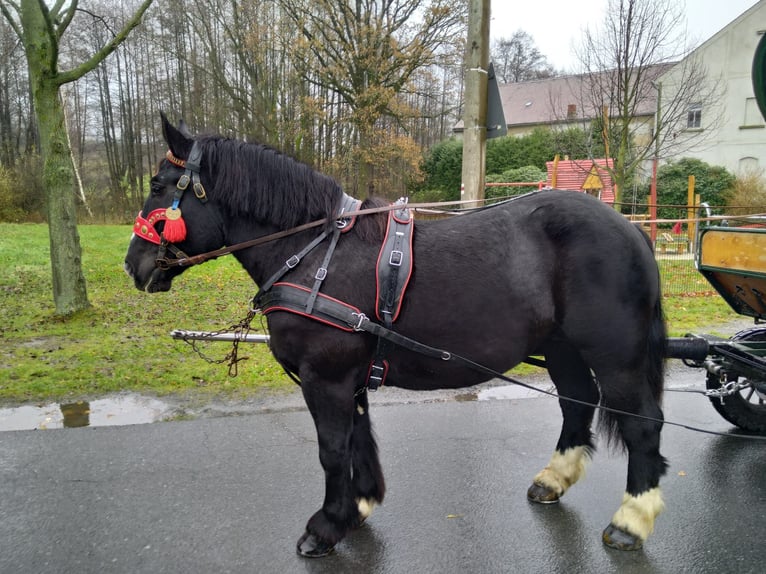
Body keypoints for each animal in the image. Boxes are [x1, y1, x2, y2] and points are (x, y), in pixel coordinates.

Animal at [124, 116, 664, 560]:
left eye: (158, 185)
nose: (134, 265)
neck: (315, 251)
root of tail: (630, 229)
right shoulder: (348, 379)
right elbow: (358, 438)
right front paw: (358, 506)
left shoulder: (326, 379)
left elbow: (332, 449)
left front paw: (326, 527)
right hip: (561, 349)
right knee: (576, 404)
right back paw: (554, 480)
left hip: (616, 356)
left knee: (642, 425)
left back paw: (631, 520)